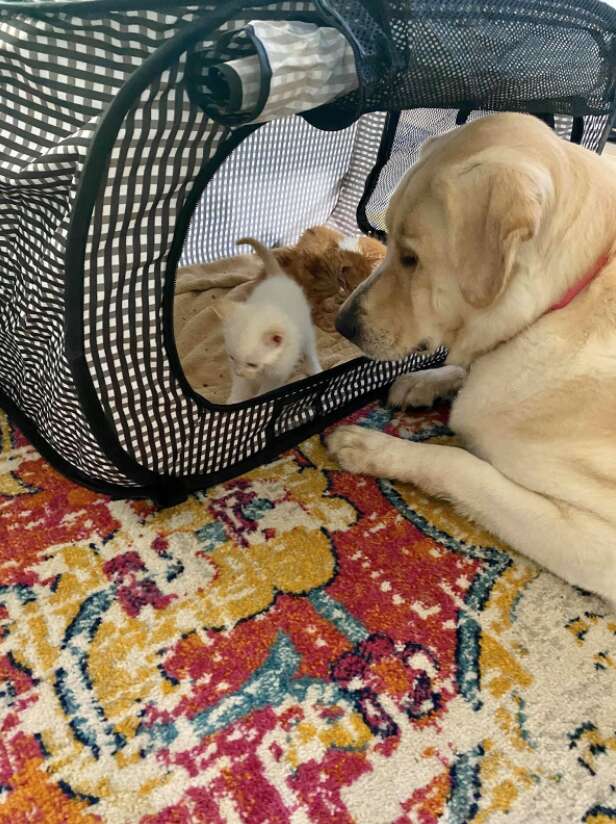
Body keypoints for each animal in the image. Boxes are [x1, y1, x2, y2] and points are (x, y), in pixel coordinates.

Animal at [218, 237, 322, 404]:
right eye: (231, 357)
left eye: (252, 364)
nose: (239, 372)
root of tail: (278, 277)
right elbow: (241, 387)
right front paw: (235, 401)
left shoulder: (278, 372)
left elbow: (267, 390)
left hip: (306, 329)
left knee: (309, 350)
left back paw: (315, 368)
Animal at [328, 114, 616, 604]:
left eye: (411, 258)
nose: (341, 324)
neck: (558, 304)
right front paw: (426, 381)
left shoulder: (599, 543)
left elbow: (459, 464)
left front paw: (373, 448)